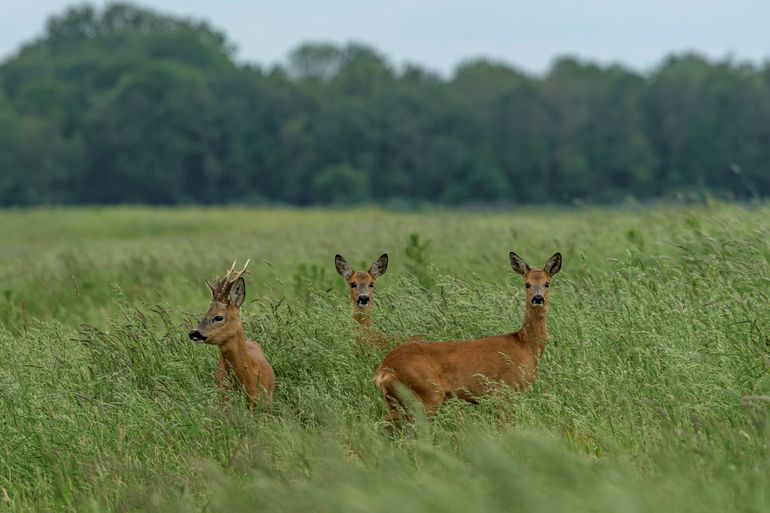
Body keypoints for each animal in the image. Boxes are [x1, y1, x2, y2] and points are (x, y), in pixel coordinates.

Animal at [372, 250, 560, 422]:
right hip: (427, 393)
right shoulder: (504, 391)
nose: (537, 298)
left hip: (397, 402)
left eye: (547, 283)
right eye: (527, 284)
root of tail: (382, 371)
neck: (526, 346)